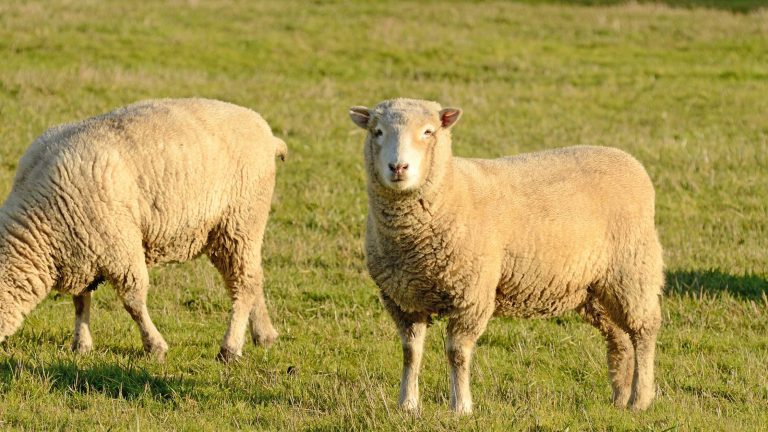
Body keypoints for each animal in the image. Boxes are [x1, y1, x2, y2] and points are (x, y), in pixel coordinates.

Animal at [0, 98, 286, 362]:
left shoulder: (118, 247)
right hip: (231, 230)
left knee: (244, 283)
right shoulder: (82, 251)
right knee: (253, 278)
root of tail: (266, 133)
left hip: (241, 220)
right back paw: (264, 335)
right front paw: (81, 345)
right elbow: (81, 303)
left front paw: (155, 347)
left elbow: (133, 303)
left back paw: (230, 348)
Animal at [352, 98, 664, 416]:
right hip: (594, 287)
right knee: (619, 336)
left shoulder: (472, 296)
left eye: (428, 131)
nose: (398, 167)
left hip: (632, 269)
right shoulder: (402, 299)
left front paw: (461, 406)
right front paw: (407, 404)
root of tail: (628, 159)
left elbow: (457, 353)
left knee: (644, 331)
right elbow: (410, 352)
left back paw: (640, 398)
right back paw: (620, 396)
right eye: (377, 132)